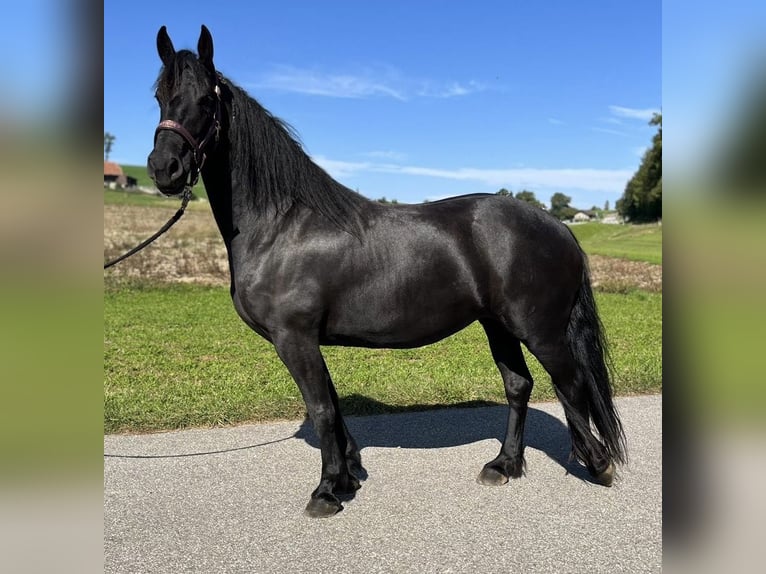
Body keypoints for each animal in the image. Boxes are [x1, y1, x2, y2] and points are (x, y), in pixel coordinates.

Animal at [147, 25, 628, 520]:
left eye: (205, 100)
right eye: (160, 96)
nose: (165, 169)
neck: (280, 225)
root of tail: (559, 226)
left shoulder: (294, 338)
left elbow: (321, 409)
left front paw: (325, 491)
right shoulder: (306, 341)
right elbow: (333, 406)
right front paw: (347, 476)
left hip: (540, 331)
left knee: (571, 384)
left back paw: (598, 462)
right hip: (497, 325)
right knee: (520, 385)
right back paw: (504, 465)